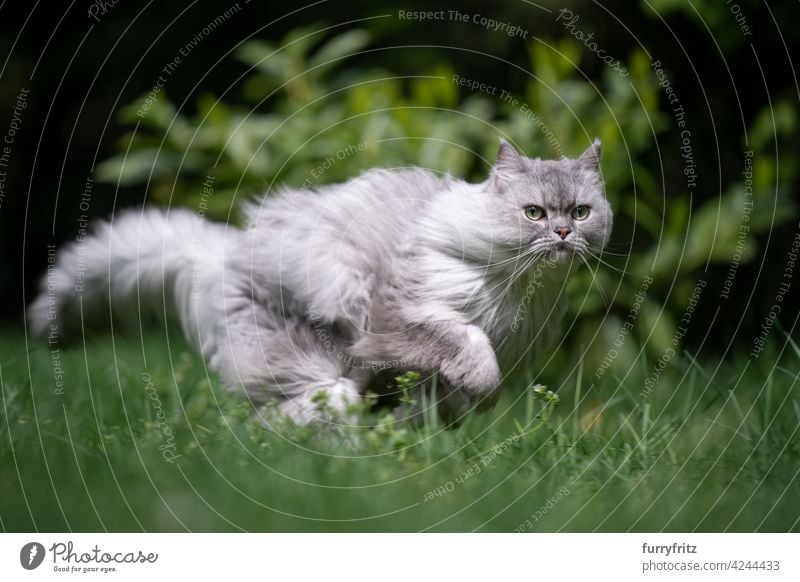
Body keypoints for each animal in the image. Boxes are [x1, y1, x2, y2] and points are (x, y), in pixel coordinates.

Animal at [26, 139, 612, 426]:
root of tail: (221, 253)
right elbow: (466, 343)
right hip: (318, 361)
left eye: (581, 212)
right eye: (534, 213)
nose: (563, 233)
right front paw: (483, 384)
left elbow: (449, 398)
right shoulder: (399, 318)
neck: (516, 288)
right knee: (291, 415)